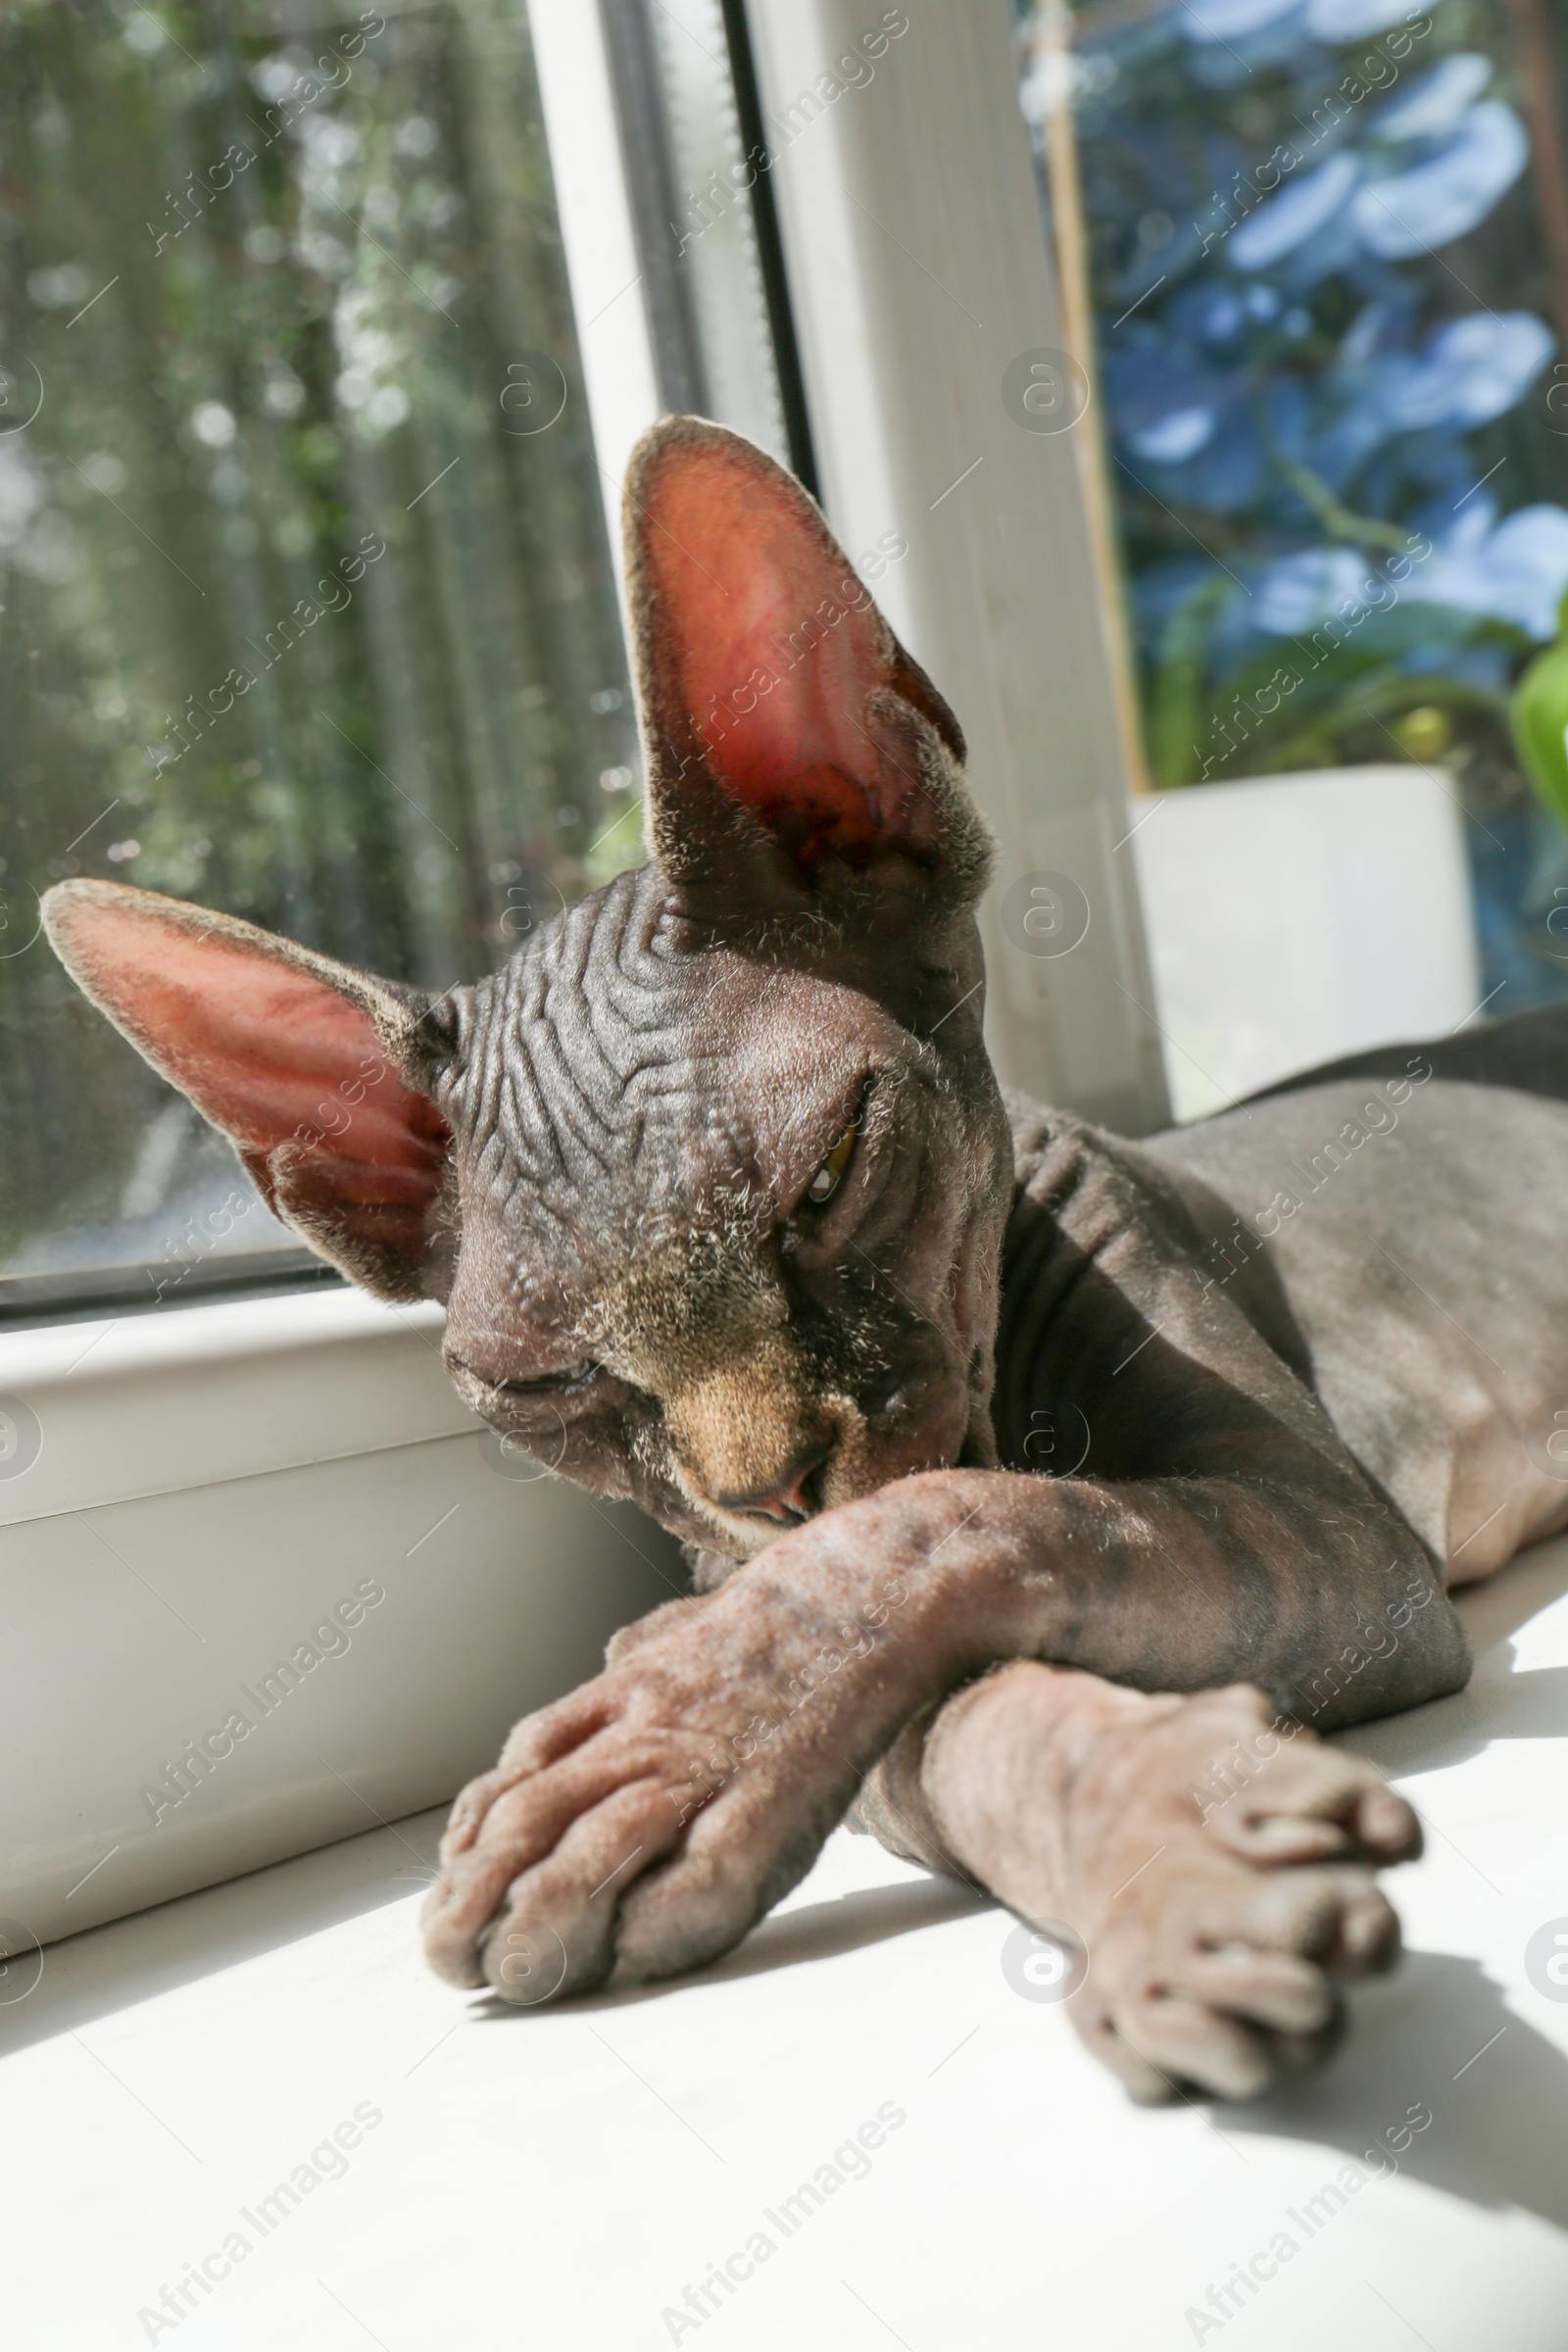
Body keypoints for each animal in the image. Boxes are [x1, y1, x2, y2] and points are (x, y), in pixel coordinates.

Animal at [39, 418, 1568, 2097]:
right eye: (542, 1380)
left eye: (829, 1171)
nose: (768, 1486)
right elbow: (959, 1708)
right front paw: (1174, 1860)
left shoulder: (1338, 1535)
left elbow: (960, 1512)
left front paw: (682, 1721)